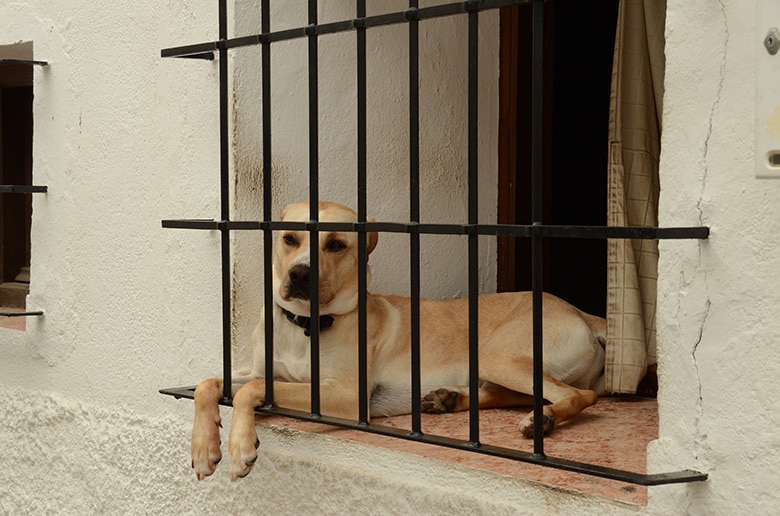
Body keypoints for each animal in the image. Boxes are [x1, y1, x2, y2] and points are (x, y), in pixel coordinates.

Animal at [192, 201, 608, 480]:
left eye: (336, 245)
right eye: (289, 238)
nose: (300, 274)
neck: (304, 325)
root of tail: (581, 312)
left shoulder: (345, 396)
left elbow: (252, 390)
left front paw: (240, 446)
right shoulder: (257, 370)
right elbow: (207, 383)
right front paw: (203, 447)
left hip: (496, 354)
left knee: (581, 395)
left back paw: (543, 420)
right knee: (520, 393)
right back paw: (451, 399)